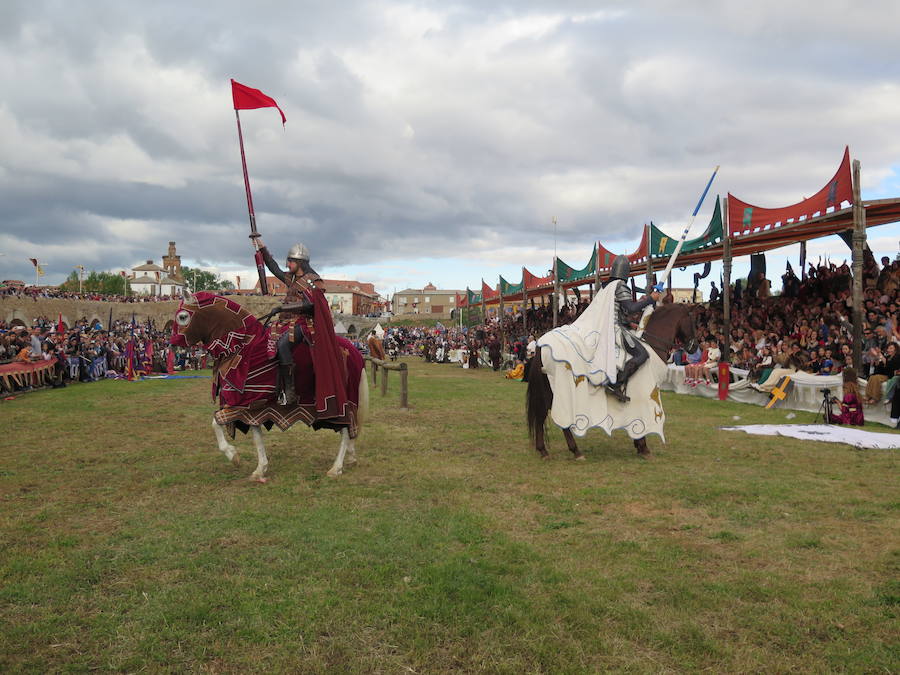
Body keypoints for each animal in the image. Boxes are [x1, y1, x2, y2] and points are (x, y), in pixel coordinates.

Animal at [167, 290, 368, 480]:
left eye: (182, 316)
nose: (172, 344)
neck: (242, 345)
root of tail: (354, 351)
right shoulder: (252, 405)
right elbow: (256, 437)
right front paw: (260, 469)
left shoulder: (241, 403)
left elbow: (215, 423)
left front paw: (233, 456)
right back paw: (350, 457)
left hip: (343, 405)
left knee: (345, 431)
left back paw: (336, 468)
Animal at [528, 304, 696, 460]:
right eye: (692, 319)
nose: (694, 347)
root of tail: (541, 344)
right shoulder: (645, 394)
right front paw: (643, 447)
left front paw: (639, 445)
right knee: (555, 418)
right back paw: (574, 451)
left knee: (543, 416)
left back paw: (544, 451)